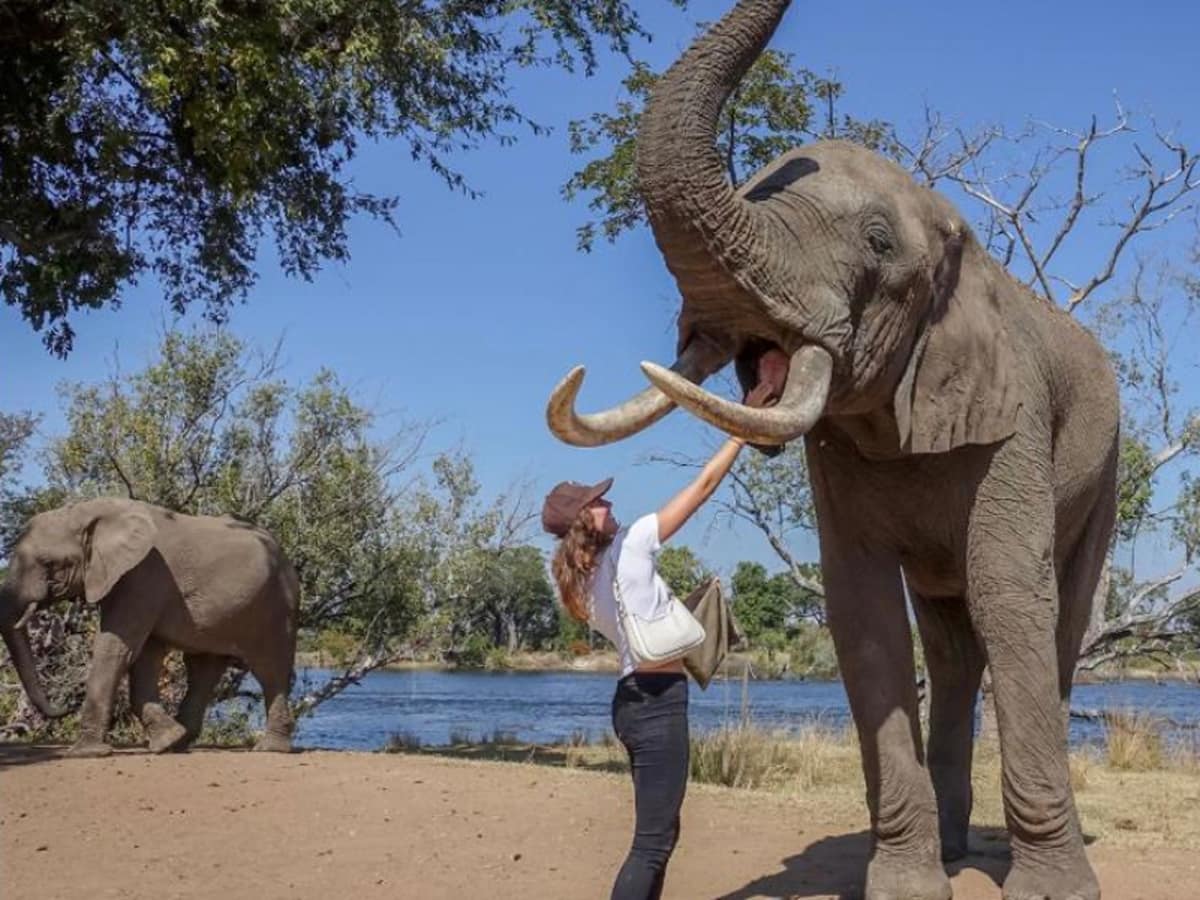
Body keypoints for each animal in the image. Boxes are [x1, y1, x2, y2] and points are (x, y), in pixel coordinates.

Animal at [1, 496, 298, 758]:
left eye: (49, 564)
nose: (64, 707)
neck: (91, 511)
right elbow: (144, 656)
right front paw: (166, 741)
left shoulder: (143, 575)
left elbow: (118, 648)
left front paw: (84, 753)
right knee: (202, 670)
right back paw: (180, 744)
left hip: (275, 606)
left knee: (270, 669)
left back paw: (269, 749)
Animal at [549, 1, 1118, 900]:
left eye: (879, 244)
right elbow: (863, 613)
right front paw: (909, 886)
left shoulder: (1018, 415)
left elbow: (1010, 596)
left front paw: (1052, 893)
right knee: (950, 645)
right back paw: (953, 848)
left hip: (1110, 462)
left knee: (1057, 621)